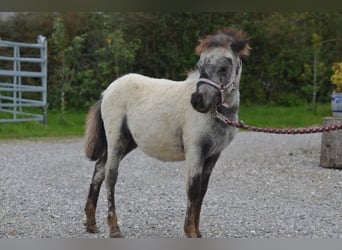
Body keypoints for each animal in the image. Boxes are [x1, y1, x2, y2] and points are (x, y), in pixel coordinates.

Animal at [83, 27, 248, 238]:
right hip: (116, 139)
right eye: (200, 65)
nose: (197, 101)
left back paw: (91, 223)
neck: (217, 114)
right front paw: (190, 232)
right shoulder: (195, 150)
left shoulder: (213, 155)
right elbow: (193, 189)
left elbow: (202, 191)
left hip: (129, 141)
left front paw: (197, 232)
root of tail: (107, 91)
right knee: (110, 176)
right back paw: (114, 228)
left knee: (99, 170)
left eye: (224, 68)